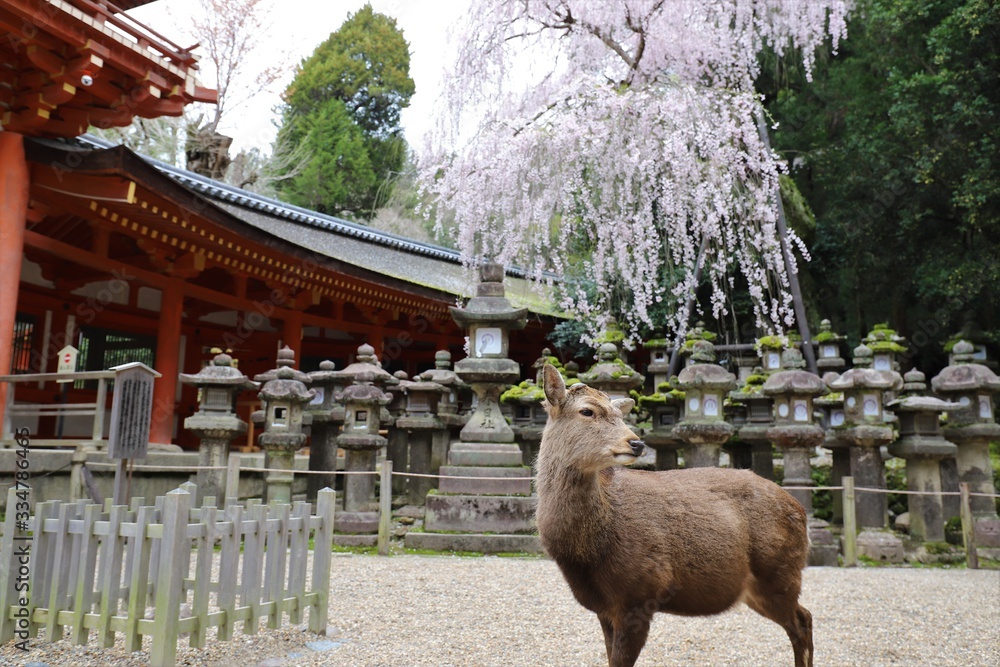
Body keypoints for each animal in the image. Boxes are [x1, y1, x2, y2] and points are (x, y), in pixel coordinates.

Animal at [536, 364, 813, 667]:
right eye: (587, 411)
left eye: (620, 415)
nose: (636, 443)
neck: (586, 556)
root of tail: (801, 512)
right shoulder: (603, 608)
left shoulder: (639, 595)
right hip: (758, 589)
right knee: (804, 617)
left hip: (780, 573)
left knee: (802, 621)